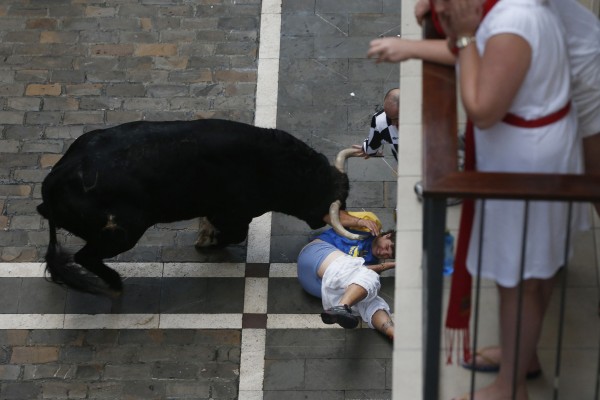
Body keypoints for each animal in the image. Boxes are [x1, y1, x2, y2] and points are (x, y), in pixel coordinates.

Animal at [36, 118, 352, 294]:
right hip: (123, 233)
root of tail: (57, 177)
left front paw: (204, 236)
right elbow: (233, 234)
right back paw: (115, 282)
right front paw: (206, 241)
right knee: (85, 256)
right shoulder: (233, 213)